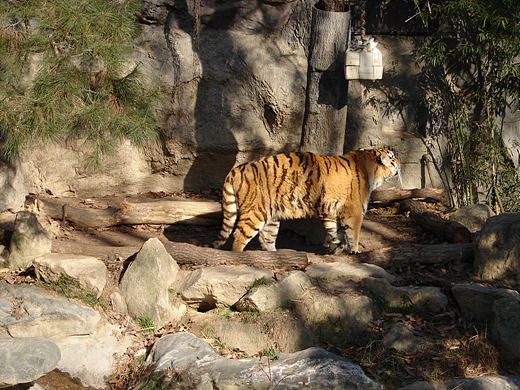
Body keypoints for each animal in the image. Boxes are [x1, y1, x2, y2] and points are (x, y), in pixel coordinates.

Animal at [213, 148, 400, 254]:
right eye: (392, 156)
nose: (399, 162)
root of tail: (237, 169)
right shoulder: (354, 211)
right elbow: (353, 233)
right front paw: (354, 251)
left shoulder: (331, 211)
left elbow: (335, 231)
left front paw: (336, 246)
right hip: (256, 211)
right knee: (238, 236)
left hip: (272, 216)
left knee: (266, 238)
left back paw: (275, 257)